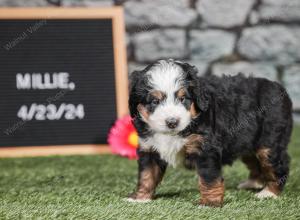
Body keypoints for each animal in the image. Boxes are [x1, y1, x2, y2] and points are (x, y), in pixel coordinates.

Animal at [127, 58, 292, 206]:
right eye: (155, 101)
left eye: (183, 98)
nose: (172, 122)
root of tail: (279, 88)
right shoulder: (149, 148)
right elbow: (147, 175)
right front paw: (140, 198)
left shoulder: (205, 149)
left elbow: (209, 178)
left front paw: (209, 202)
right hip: (248, 142)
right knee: (254, 161)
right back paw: (253, 183)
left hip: (269, 142)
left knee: (278, 166)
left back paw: (269, 192)